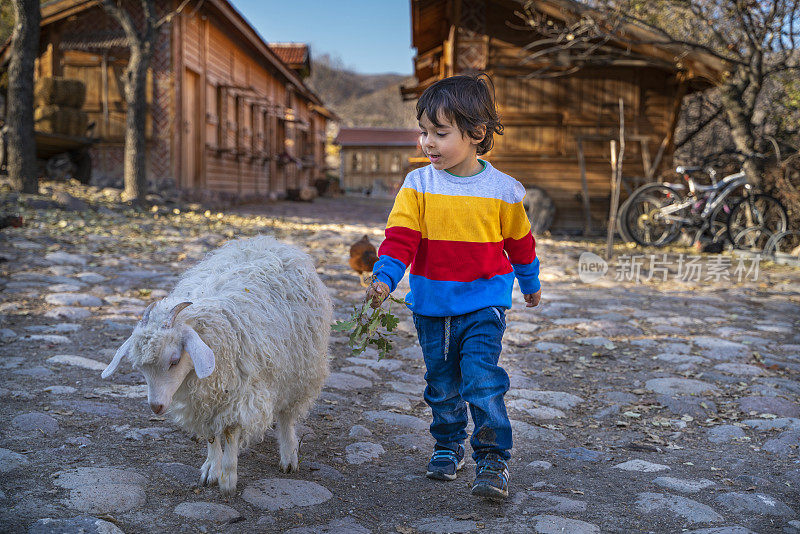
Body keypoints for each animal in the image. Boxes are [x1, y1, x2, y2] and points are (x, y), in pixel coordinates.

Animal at [102, 237, 332, 496]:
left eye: (174, 360)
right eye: (140, 369)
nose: (156, 407)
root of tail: (268, 240)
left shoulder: (241, 394)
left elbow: (231, 432)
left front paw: (228, 477)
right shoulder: (204, 400)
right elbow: (211, 434)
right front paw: (211, 468)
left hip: (300, 371)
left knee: (287, 416)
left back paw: (289, 454)